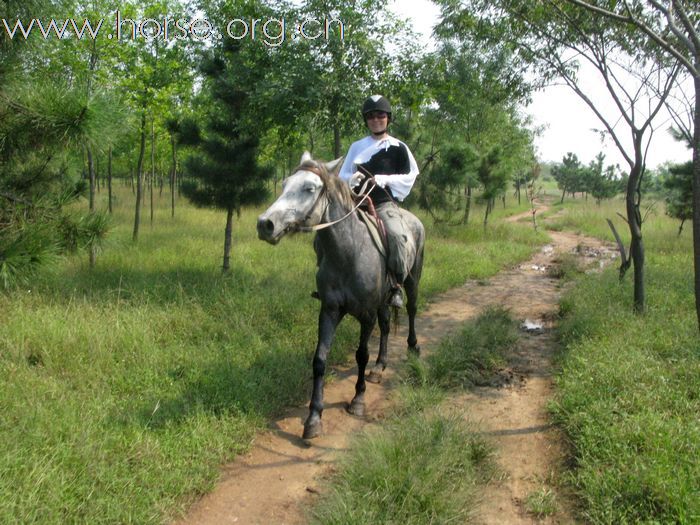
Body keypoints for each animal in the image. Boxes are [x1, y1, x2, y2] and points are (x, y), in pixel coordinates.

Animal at [256, 151, 424, 438]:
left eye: (309, 188)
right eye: (285, 183)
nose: (265, 224)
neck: (349, 252)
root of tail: (415, 221)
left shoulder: (366, 315)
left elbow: (361, 355)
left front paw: (357, 401)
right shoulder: (330, 310)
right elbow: (319, 359)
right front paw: (313, 417)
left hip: (412, 280)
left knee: (411, 310)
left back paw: (413, 347)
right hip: (383, 301)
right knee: (386, 326)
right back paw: (379, 367)